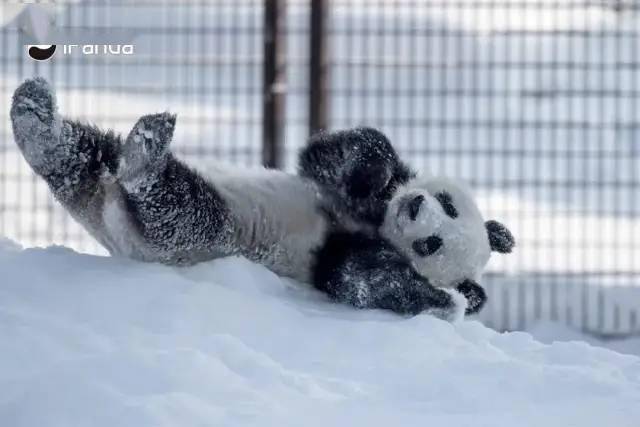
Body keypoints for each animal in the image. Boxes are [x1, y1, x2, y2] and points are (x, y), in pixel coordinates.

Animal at [8, 78, 516, 322]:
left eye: (432, 244)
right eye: (447, 204)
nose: (414, 208)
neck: (375, 225)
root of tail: (106, 211)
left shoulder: (340, 252)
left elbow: (355, 278)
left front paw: (442, 298)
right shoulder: (337, 185)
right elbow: (331, 153)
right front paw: (380, 172)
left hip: (201, 236)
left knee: (180, 209)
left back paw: (143, 159)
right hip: (101, 170)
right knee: (85, 152)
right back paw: (35, 112)